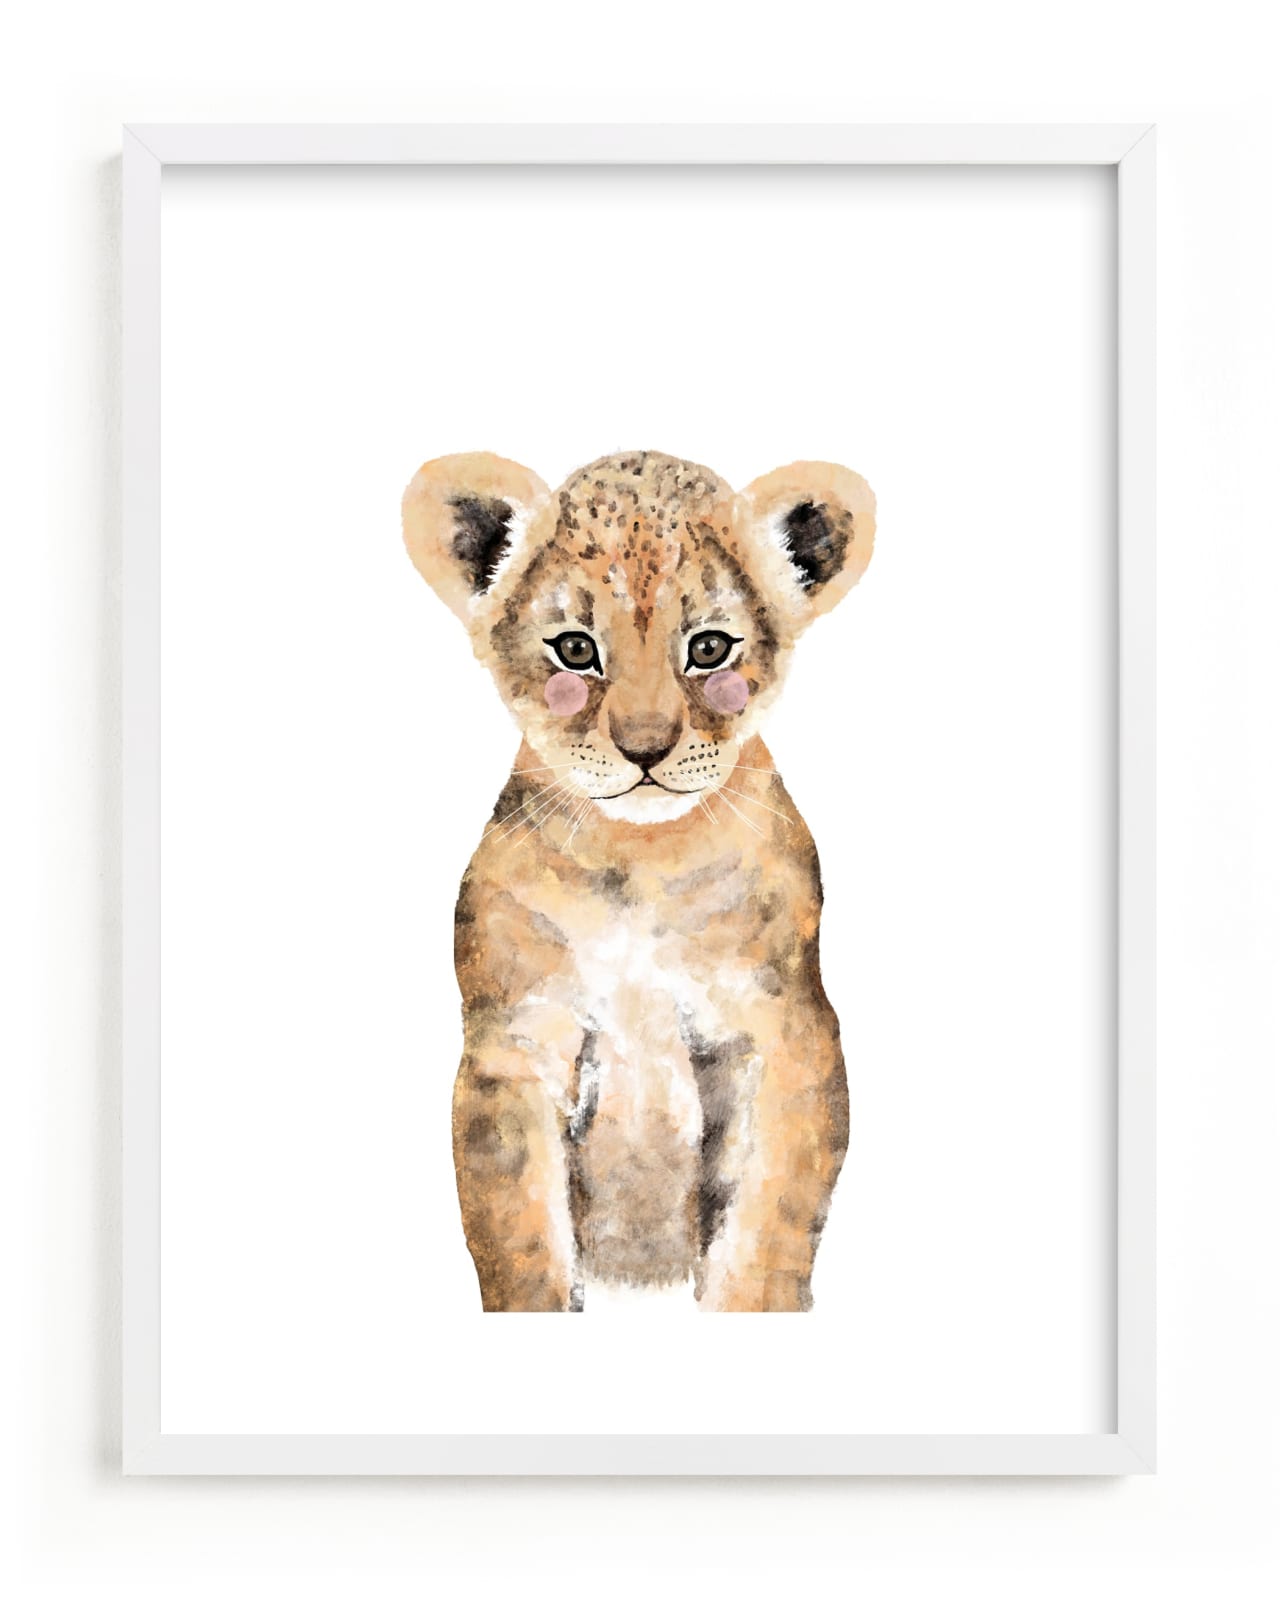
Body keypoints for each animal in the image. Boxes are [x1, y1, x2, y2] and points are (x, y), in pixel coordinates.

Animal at [402, 449, 875, 1311]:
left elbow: (767, 1223)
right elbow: (521, 1237)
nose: (647, 749)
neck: (642, 858)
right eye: (576, 650)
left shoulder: (785, 1030)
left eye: (710, 649)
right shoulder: (515, 1044)